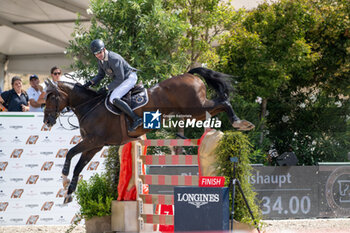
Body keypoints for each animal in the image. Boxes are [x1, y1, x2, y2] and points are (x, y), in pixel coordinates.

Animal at [43, 66, 254, 203]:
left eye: (51, 97)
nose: (47, 121)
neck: (89, 106)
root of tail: (188, 75)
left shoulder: (93, 140)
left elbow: (70, 153)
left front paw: (63, 178)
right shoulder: (94, 146)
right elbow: (79, 166)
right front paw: (69, 192)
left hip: (196, 109)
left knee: (224, 102)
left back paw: (240, 123)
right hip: (197, 111)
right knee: (221, 103)